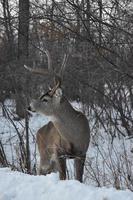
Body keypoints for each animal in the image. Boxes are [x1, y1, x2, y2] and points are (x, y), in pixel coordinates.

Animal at [24, 49, 90, 181]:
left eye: (45, 99)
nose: (29, 106)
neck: (74, 137)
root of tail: (39, 131)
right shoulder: (58, 152)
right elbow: (63, 177)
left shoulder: (82, 153)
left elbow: (78, 178)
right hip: (45, 154)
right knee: (39, 170)